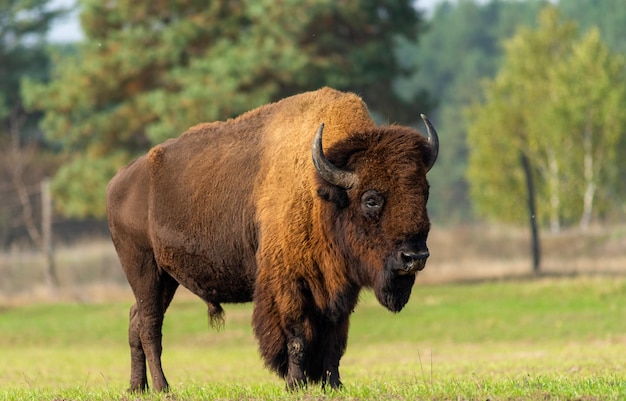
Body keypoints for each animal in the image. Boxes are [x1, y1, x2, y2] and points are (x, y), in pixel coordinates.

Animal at [106, 86, 438, 390]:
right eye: (371, 199)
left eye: (424, 192)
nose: (414, 257)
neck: (321, 191)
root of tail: (119, 180)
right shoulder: (289, 283)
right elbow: (297, 336)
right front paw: (295, 383)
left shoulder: (339, 288)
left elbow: (335, 339)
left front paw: (334, 384)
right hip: (145, 270)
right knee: (150, 326)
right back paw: (163, 387)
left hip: (165, 278)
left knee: (136, 320)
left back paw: (137, 387)